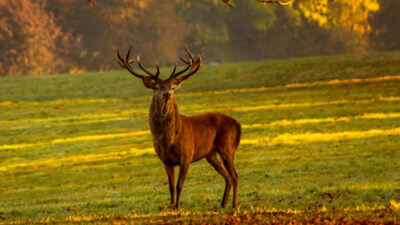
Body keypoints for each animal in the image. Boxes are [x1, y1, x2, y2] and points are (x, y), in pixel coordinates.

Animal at [115, 45, 241, 209]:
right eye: (156, 87)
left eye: (172, 87)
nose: (167, 94)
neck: (169, 140)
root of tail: (237, 124)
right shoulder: (166, 160)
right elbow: (170, 186)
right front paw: (171, 206)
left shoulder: (186, 155)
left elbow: (179, 185)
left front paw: (178, 206)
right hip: (211, 154)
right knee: (227, 176)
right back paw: (223, 203)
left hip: (227, 147)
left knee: (235, 175)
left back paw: (234, 204)